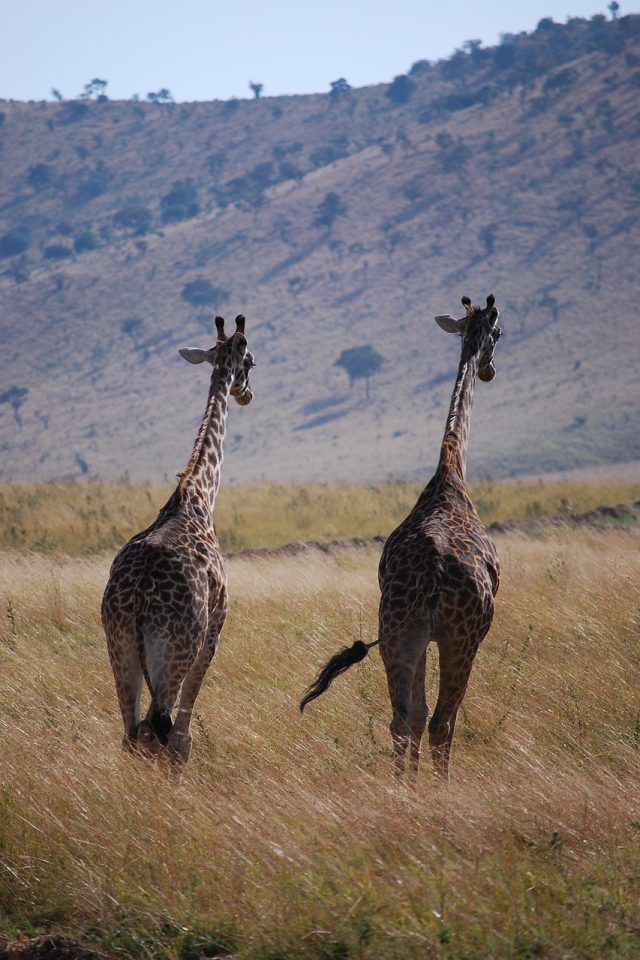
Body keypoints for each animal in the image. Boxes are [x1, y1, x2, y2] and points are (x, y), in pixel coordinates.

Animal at [101, 314, 255, 765]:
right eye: (250, 362)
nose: (247, 394)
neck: (197, 493)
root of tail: (137, 599)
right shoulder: (214, 631)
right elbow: (184, 735)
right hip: (173, 652)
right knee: (161, 733)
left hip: (119, 650)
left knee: (131, 734)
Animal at [301, 294, 502, 782]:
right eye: (499, 333)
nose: (489, 370)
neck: (451, 471)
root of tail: (432, 575)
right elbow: (437, 716)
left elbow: (414, 711)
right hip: (459, 638)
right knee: (441, 720)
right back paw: (439, 793)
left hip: (396, 632)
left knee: (402, 717)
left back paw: (401, 789)